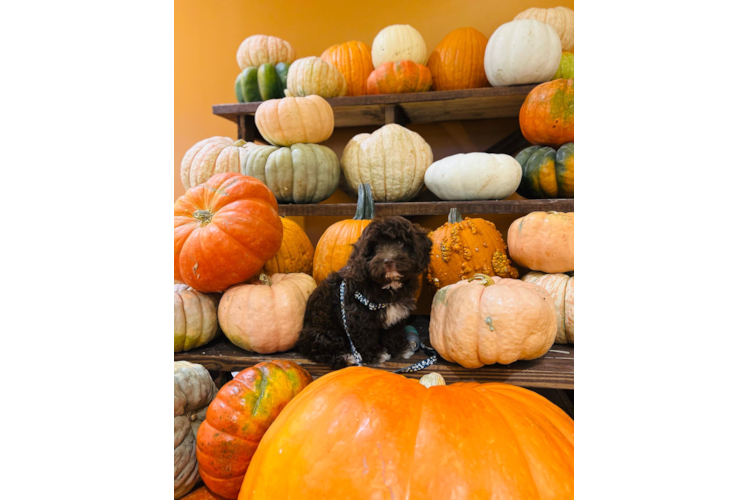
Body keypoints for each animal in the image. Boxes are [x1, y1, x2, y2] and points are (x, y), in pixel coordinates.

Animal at [296, 217, 430, 370]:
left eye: (400, 242)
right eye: (376, 247)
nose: (388, 261)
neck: (386, 285)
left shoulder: (397, 310)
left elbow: (393, 331)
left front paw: (400, 349)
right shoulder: (359, 314)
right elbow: (365, 336)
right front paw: (375, 354)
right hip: (324, 331)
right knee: (320, 348)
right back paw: (345, 357)